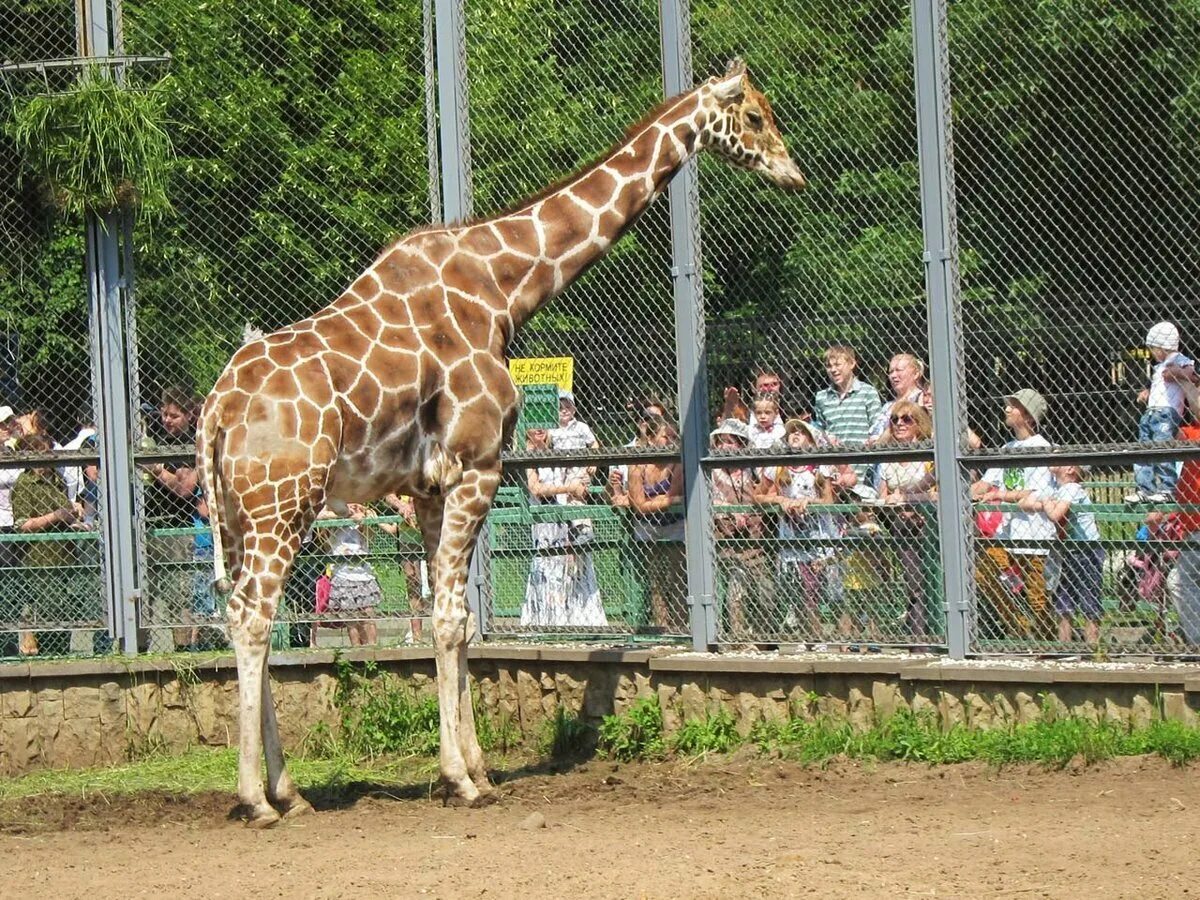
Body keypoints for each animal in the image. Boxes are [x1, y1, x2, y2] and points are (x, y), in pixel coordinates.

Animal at [199, 58, 806, 830]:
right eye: (755, 117)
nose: (794, 173)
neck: (503, 287)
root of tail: (216, 408)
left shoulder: (429, 488)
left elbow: (452, 622)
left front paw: (475, 769)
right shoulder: (478, 468)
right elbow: (452, 621)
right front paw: (462, 779)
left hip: (241, 513)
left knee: (240, 612)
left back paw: (291, 791)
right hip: (284, 502)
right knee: (254, 616)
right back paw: (257, 798)